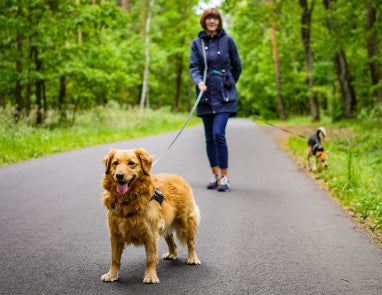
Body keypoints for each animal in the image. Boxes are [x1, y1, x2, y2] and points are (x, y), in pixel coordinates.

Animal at [100, 149, 201, 286]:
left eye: (131, 163)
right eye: (115, 163)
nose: (119, 175)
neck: (128, 199)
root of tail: (178, 176)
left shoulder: (151, 234)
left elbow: (151, 258)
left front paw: (150, 276)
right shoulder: (115, 234)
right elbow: (114, 258)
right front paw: (112, 275)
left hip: (186, 221)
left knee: (191, 242)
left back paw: (193, 258)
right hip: (165, 225)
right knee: (172, 241)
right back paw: (172, 253)